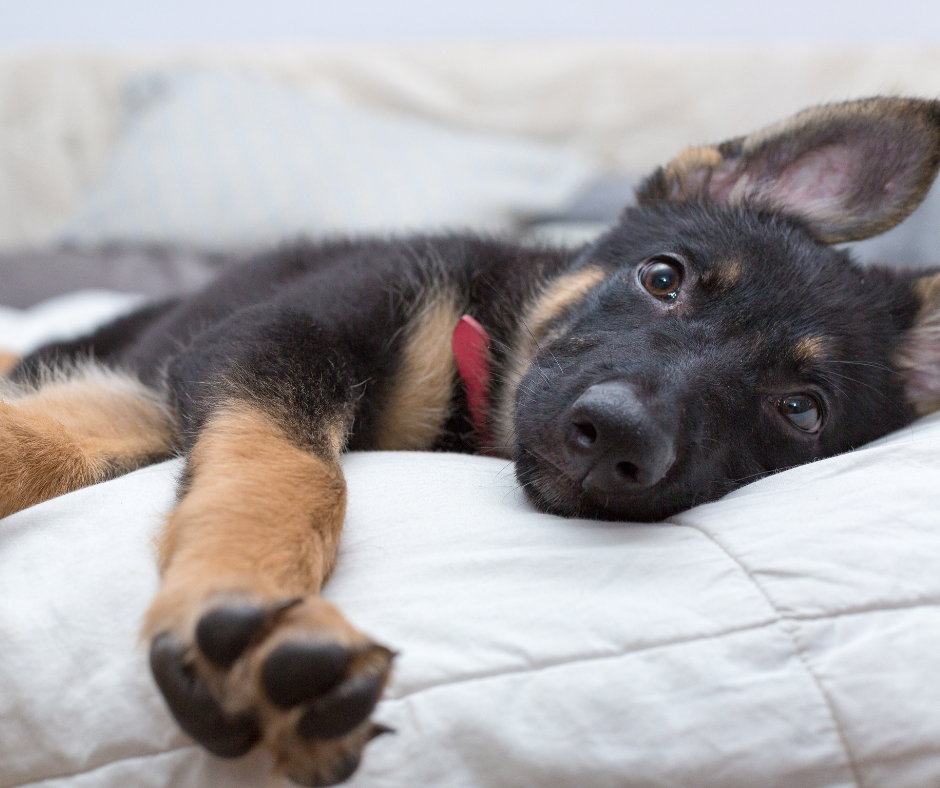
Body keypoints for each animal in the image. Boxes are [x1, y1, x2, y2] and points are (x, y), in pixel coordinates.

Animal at [1, 97, 940, 780]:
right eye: (663, 277)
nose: (617, 438)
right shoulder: (267, 338)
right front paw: (247, 602)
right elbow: (293, 472)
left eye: (801, 411)